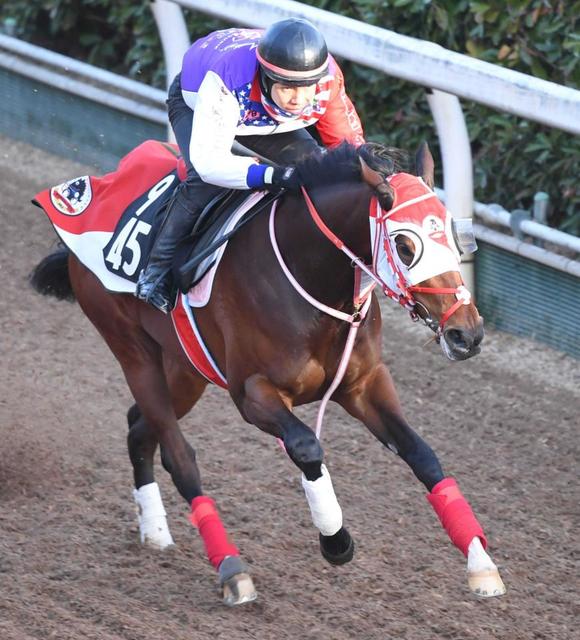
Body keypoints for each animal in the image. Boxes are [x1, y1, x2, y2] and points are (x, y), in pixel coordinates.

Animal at [30, 140, 508, 604]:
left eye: (453, 234)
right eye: (406, 245)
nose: (467, 334)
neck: (310, 277)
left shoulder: (364, 384)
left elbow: (422, 455)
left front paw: (481, 563)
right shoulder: (253, 393)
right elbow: (307, 448)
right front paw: (335, 541)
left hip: (185, 369)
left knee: (139, 428)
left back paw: (155, 531)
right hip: (133, 351)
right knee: (178, 455)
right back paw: (231, 569)